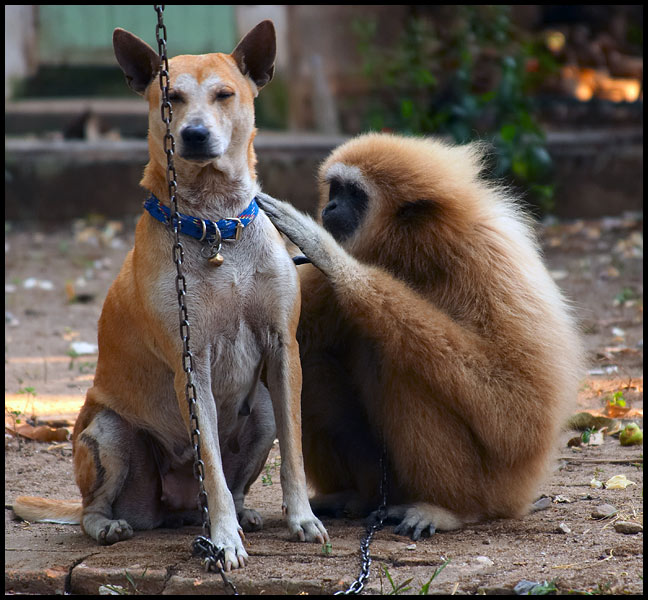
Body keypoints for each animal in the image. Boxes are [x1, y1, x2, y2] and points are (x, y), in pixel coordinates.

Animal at [12, 19, 330, 572]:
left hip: (262, 410)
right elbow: (212, 466)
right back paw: (113, 526)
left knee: (240, 478)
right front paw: (223, 541)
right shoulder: (191, 363)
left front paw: (301, 518)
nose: (195, 134)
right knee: (93, 507)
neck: (215, 225)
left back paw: (244, 515)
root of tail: (177, 509)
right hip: (108, 434)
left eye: (224, 94)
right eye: (171, 98)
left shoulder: (282, 350)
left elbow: (293, 453)